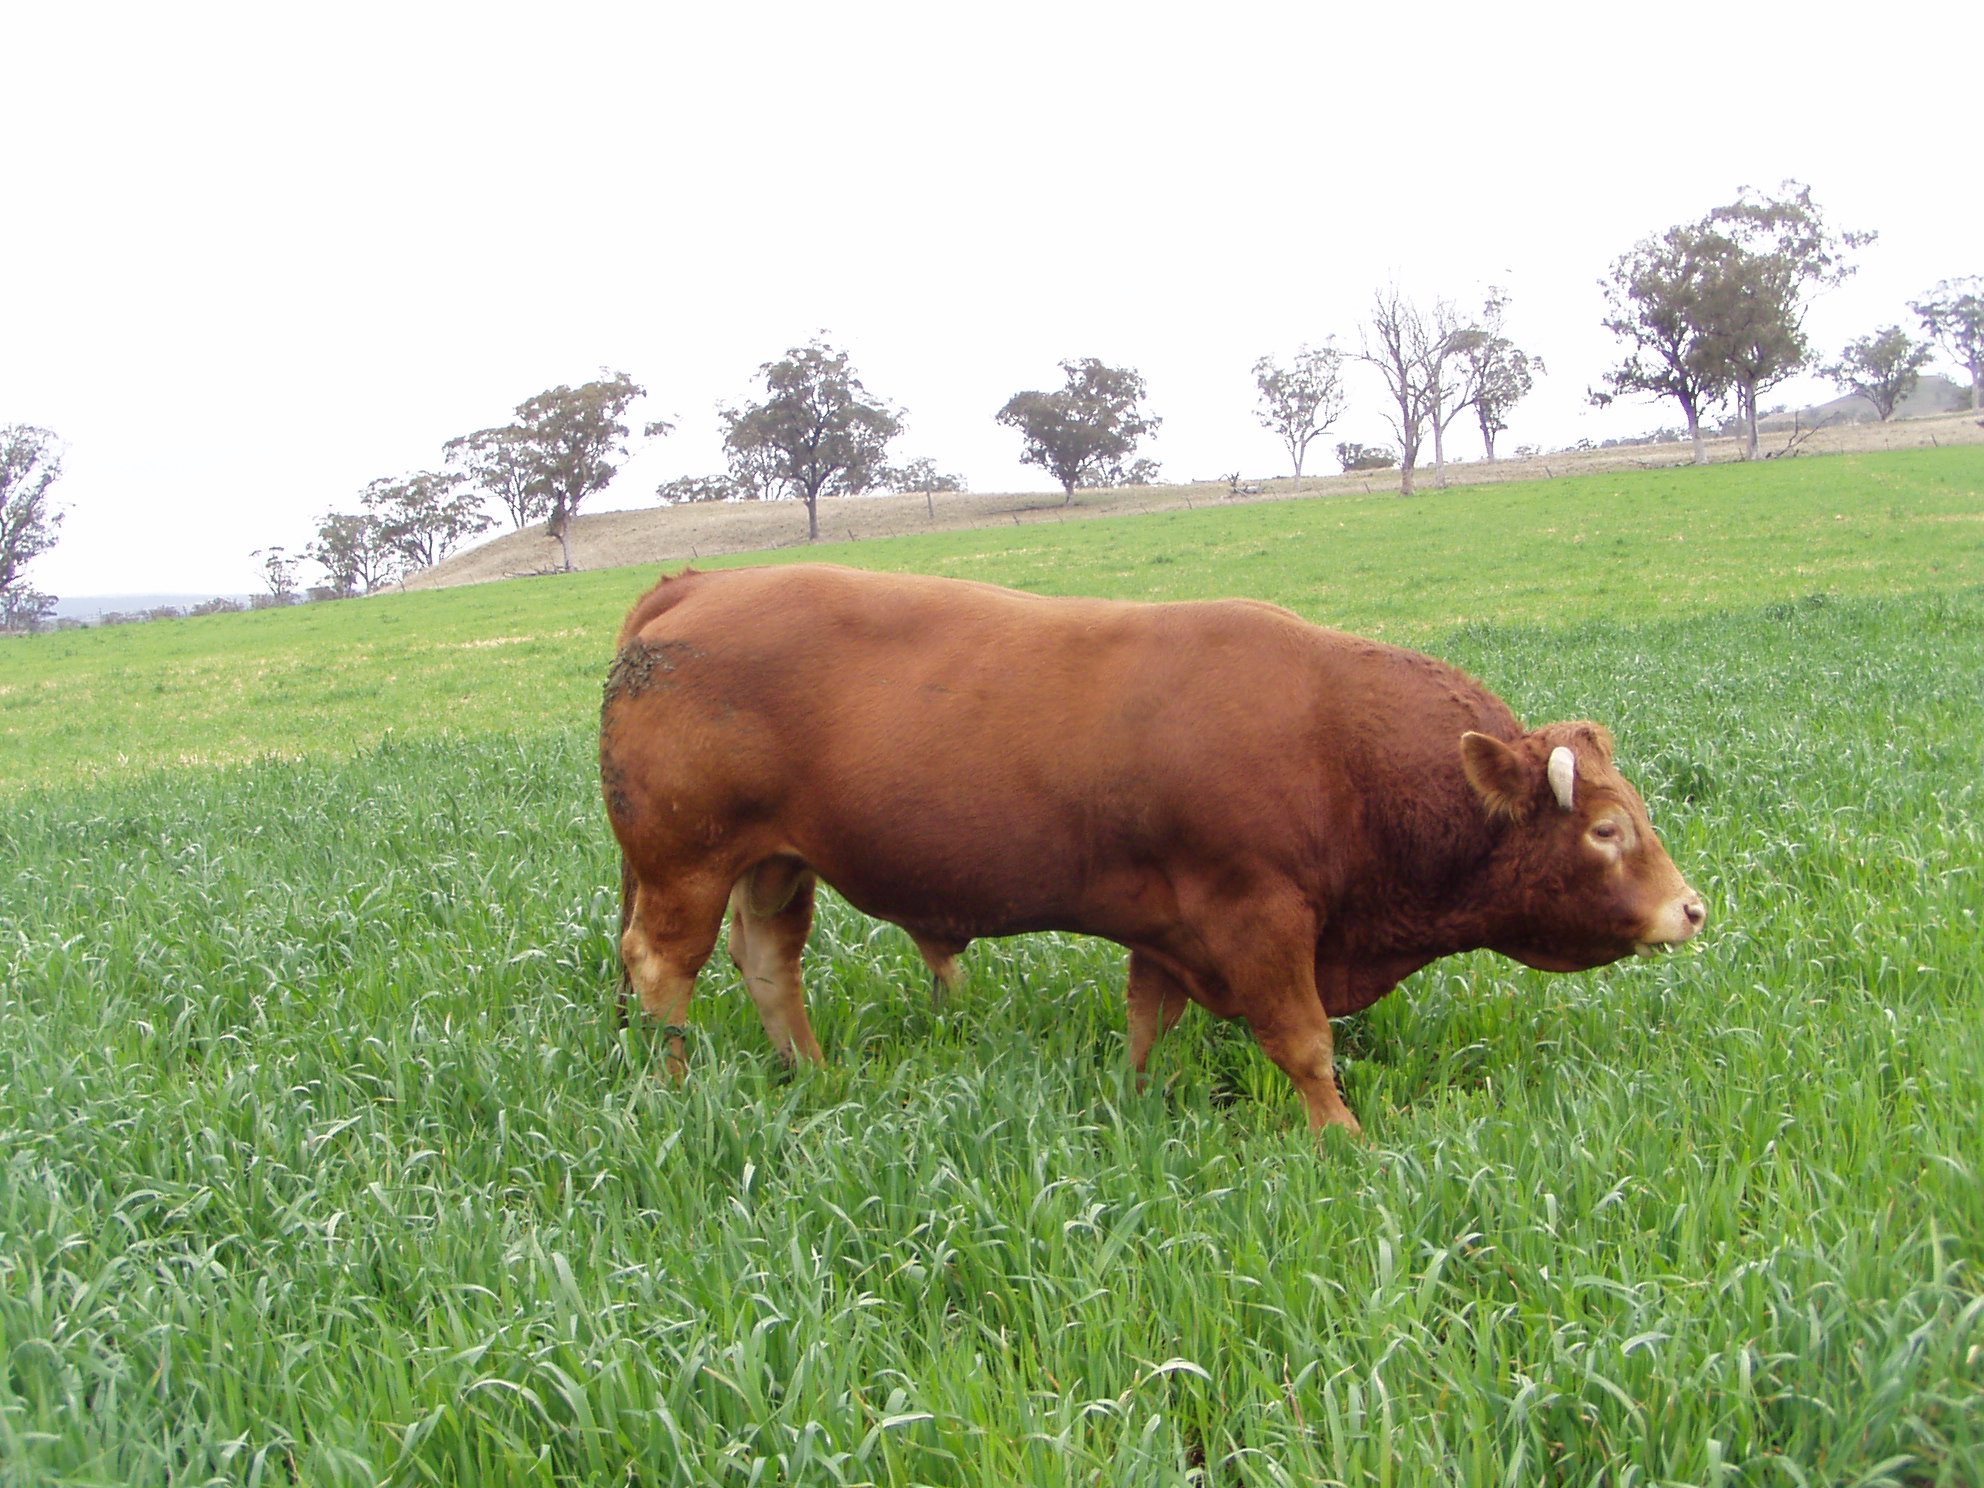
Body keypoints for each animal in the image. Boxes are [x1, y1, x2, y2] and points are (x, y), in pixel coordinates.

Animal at [600, 563, 1705, 1136]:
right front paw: (1342, 1141)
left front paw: (1136, 1103)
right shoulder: (1259, 916)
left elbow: (1146, 1020)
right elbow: (1305, 1042)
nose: (1690, 908)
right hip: (685, 862)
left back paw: (815, 1073)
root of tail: (699, 580)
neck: (1336, 743)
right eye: (1606, 830)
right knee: (662, 967)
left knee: (765, 964)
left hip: (773, 863)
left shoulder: (1169, 924)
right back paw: (675, 1085)